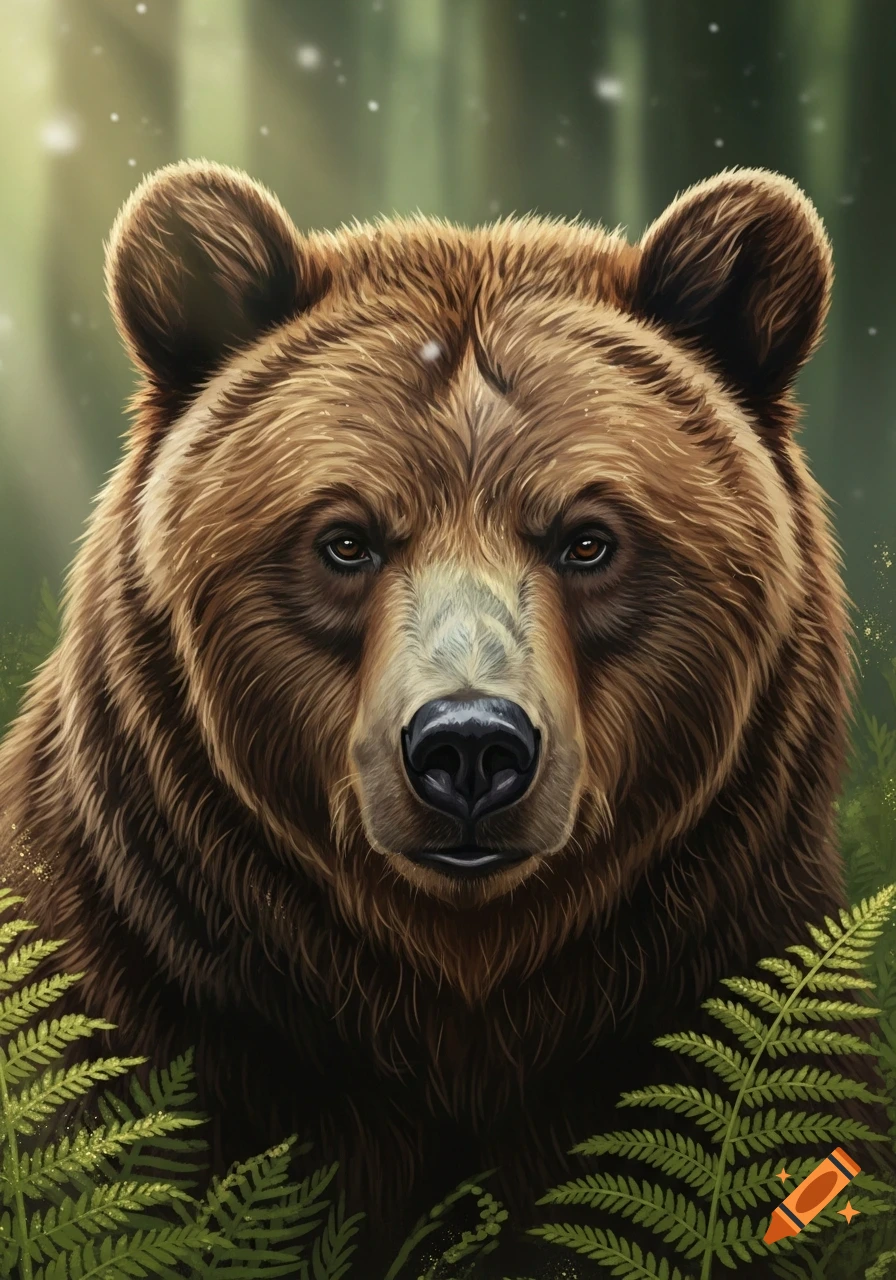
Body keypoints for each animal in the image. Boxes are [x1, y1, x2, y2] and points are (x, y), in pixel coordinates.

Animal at [0, 160, 890, 1279]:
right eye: (344, 538)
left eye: (588, 538)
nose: (469, 745)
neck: (451, 997)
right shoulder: (141, 980)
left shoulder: (727, 945)